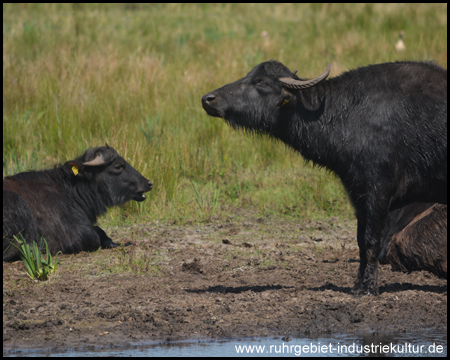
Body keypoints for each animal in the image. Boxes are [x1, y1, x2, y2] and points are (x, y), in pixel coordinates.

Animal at [203, 60, 446, 294]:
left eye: (261, 82)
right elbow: (361, 242)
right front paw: (357, 286)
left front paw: (369, 288)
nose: (208, 99)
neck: (349, 114)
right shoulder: (357, 193)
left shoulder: (379, 190)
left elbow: (372, 241)